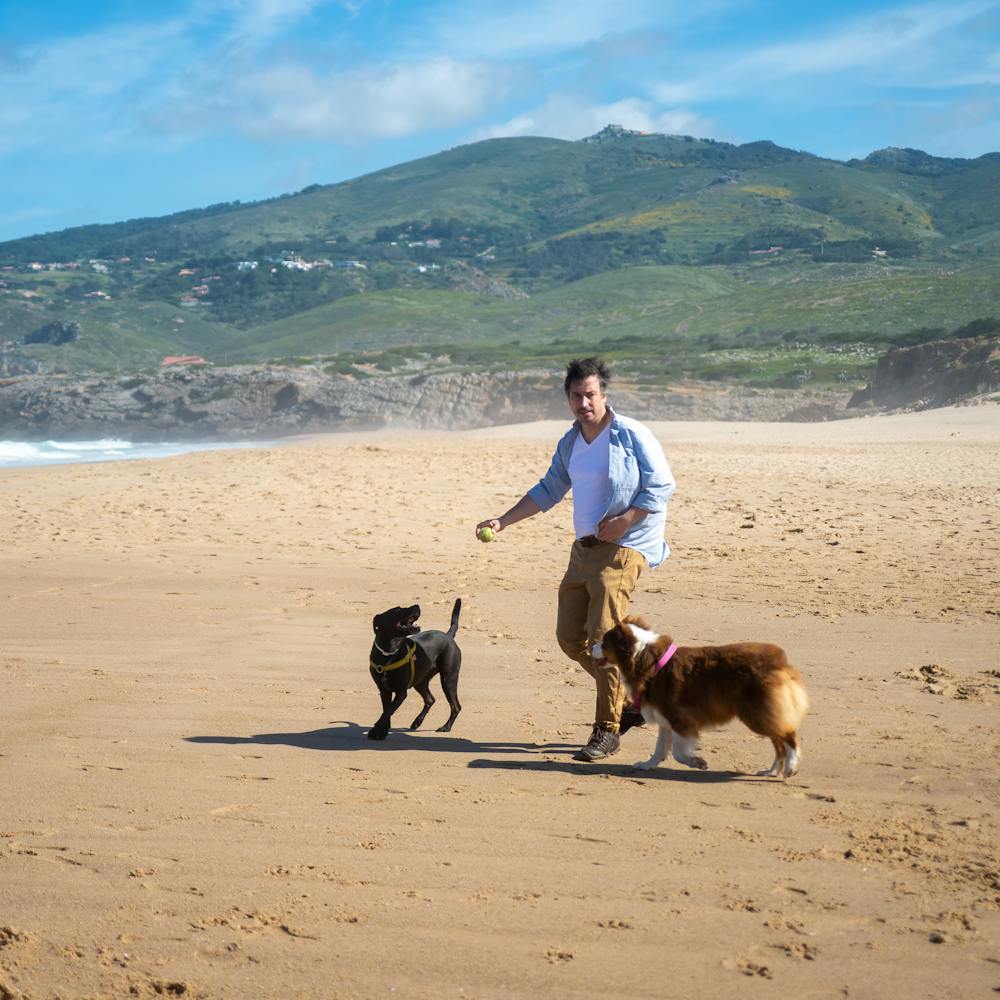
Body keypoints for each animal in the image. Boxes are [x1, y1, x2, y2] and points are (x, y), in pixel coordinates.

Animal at [366, 596, 462, 740]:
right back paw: (417, 722)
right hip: (420, 681)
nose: (417, 605)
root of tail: (448, 636)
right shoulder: (384, 690)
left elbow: (388, 711)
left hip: (448, 679)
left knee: (456, 706)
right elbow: (386, 711)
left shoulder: (401, 692)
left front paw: (375, 730)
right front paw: (382, 732)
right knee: (430, 699)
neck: (389, 653)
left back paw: (446, 727)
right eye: (397, 610)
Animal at [592, 612, 812, 776]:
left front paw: (698, 762)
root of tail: (780, 662)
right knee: (779, 741)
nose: (590, 646)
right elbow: (660, 748)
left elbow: (678, 752)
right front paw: (647, 764)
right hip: (761, 713)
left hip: (756, 713)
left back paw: (790, 766)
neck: (644, 658)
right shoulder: (664, 717)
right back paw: (771, 771)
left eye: (604, 644)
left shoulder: (680, 718)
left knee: (787, 735)